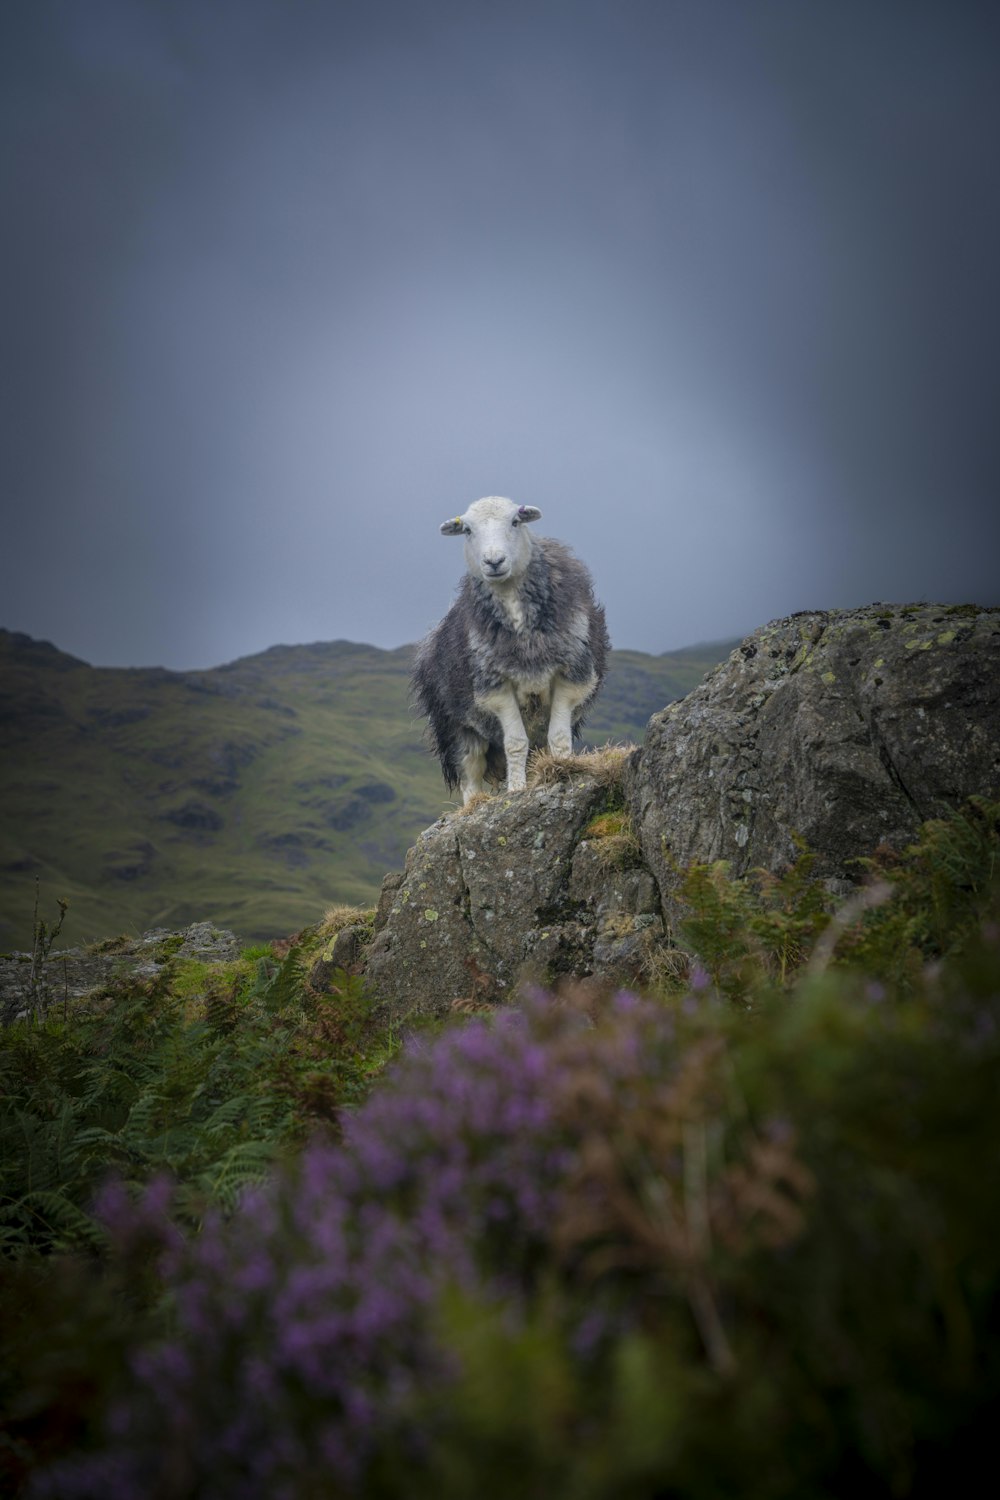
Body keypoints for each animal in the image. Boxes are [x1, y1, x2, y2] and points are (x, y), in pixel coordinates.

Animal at [413, 495, 611, 804]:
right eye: (467, 530)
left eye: (515, 522)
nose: (494, 561)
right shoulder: (495, 686)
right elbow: (516, 742)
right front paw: (517, 790)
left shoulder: (570, 675)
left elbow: (558, 737)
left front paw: (564, 770)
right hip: (457, 726)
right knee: (471, 772)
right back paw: (474, 806)